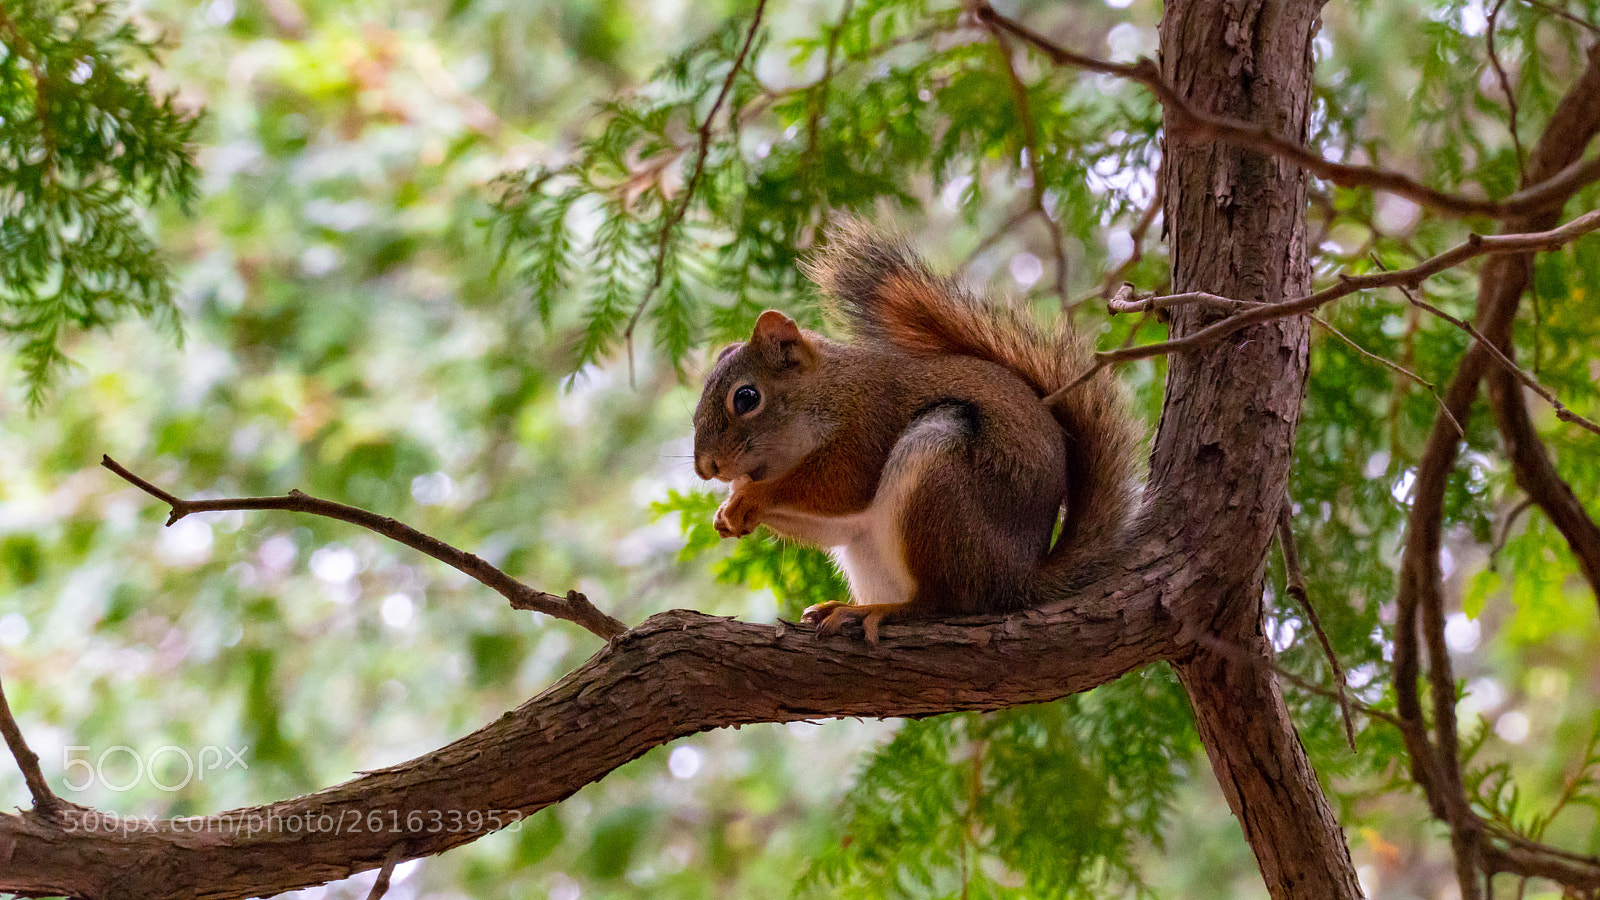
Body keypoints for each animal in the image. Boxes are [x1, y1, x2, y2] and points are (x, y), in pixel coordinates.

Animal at [691, 219, 1142, 642]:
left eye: (746, 397)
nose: (706, 468)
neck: (826, 391)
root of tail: (1017, 579)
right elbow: (832, 523)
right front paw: (728, 513)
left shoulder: (866, 423)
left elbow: (840, 484)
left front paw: (752, 497)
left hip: (940, 480)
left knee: (943, 602)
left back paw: (878, 612)